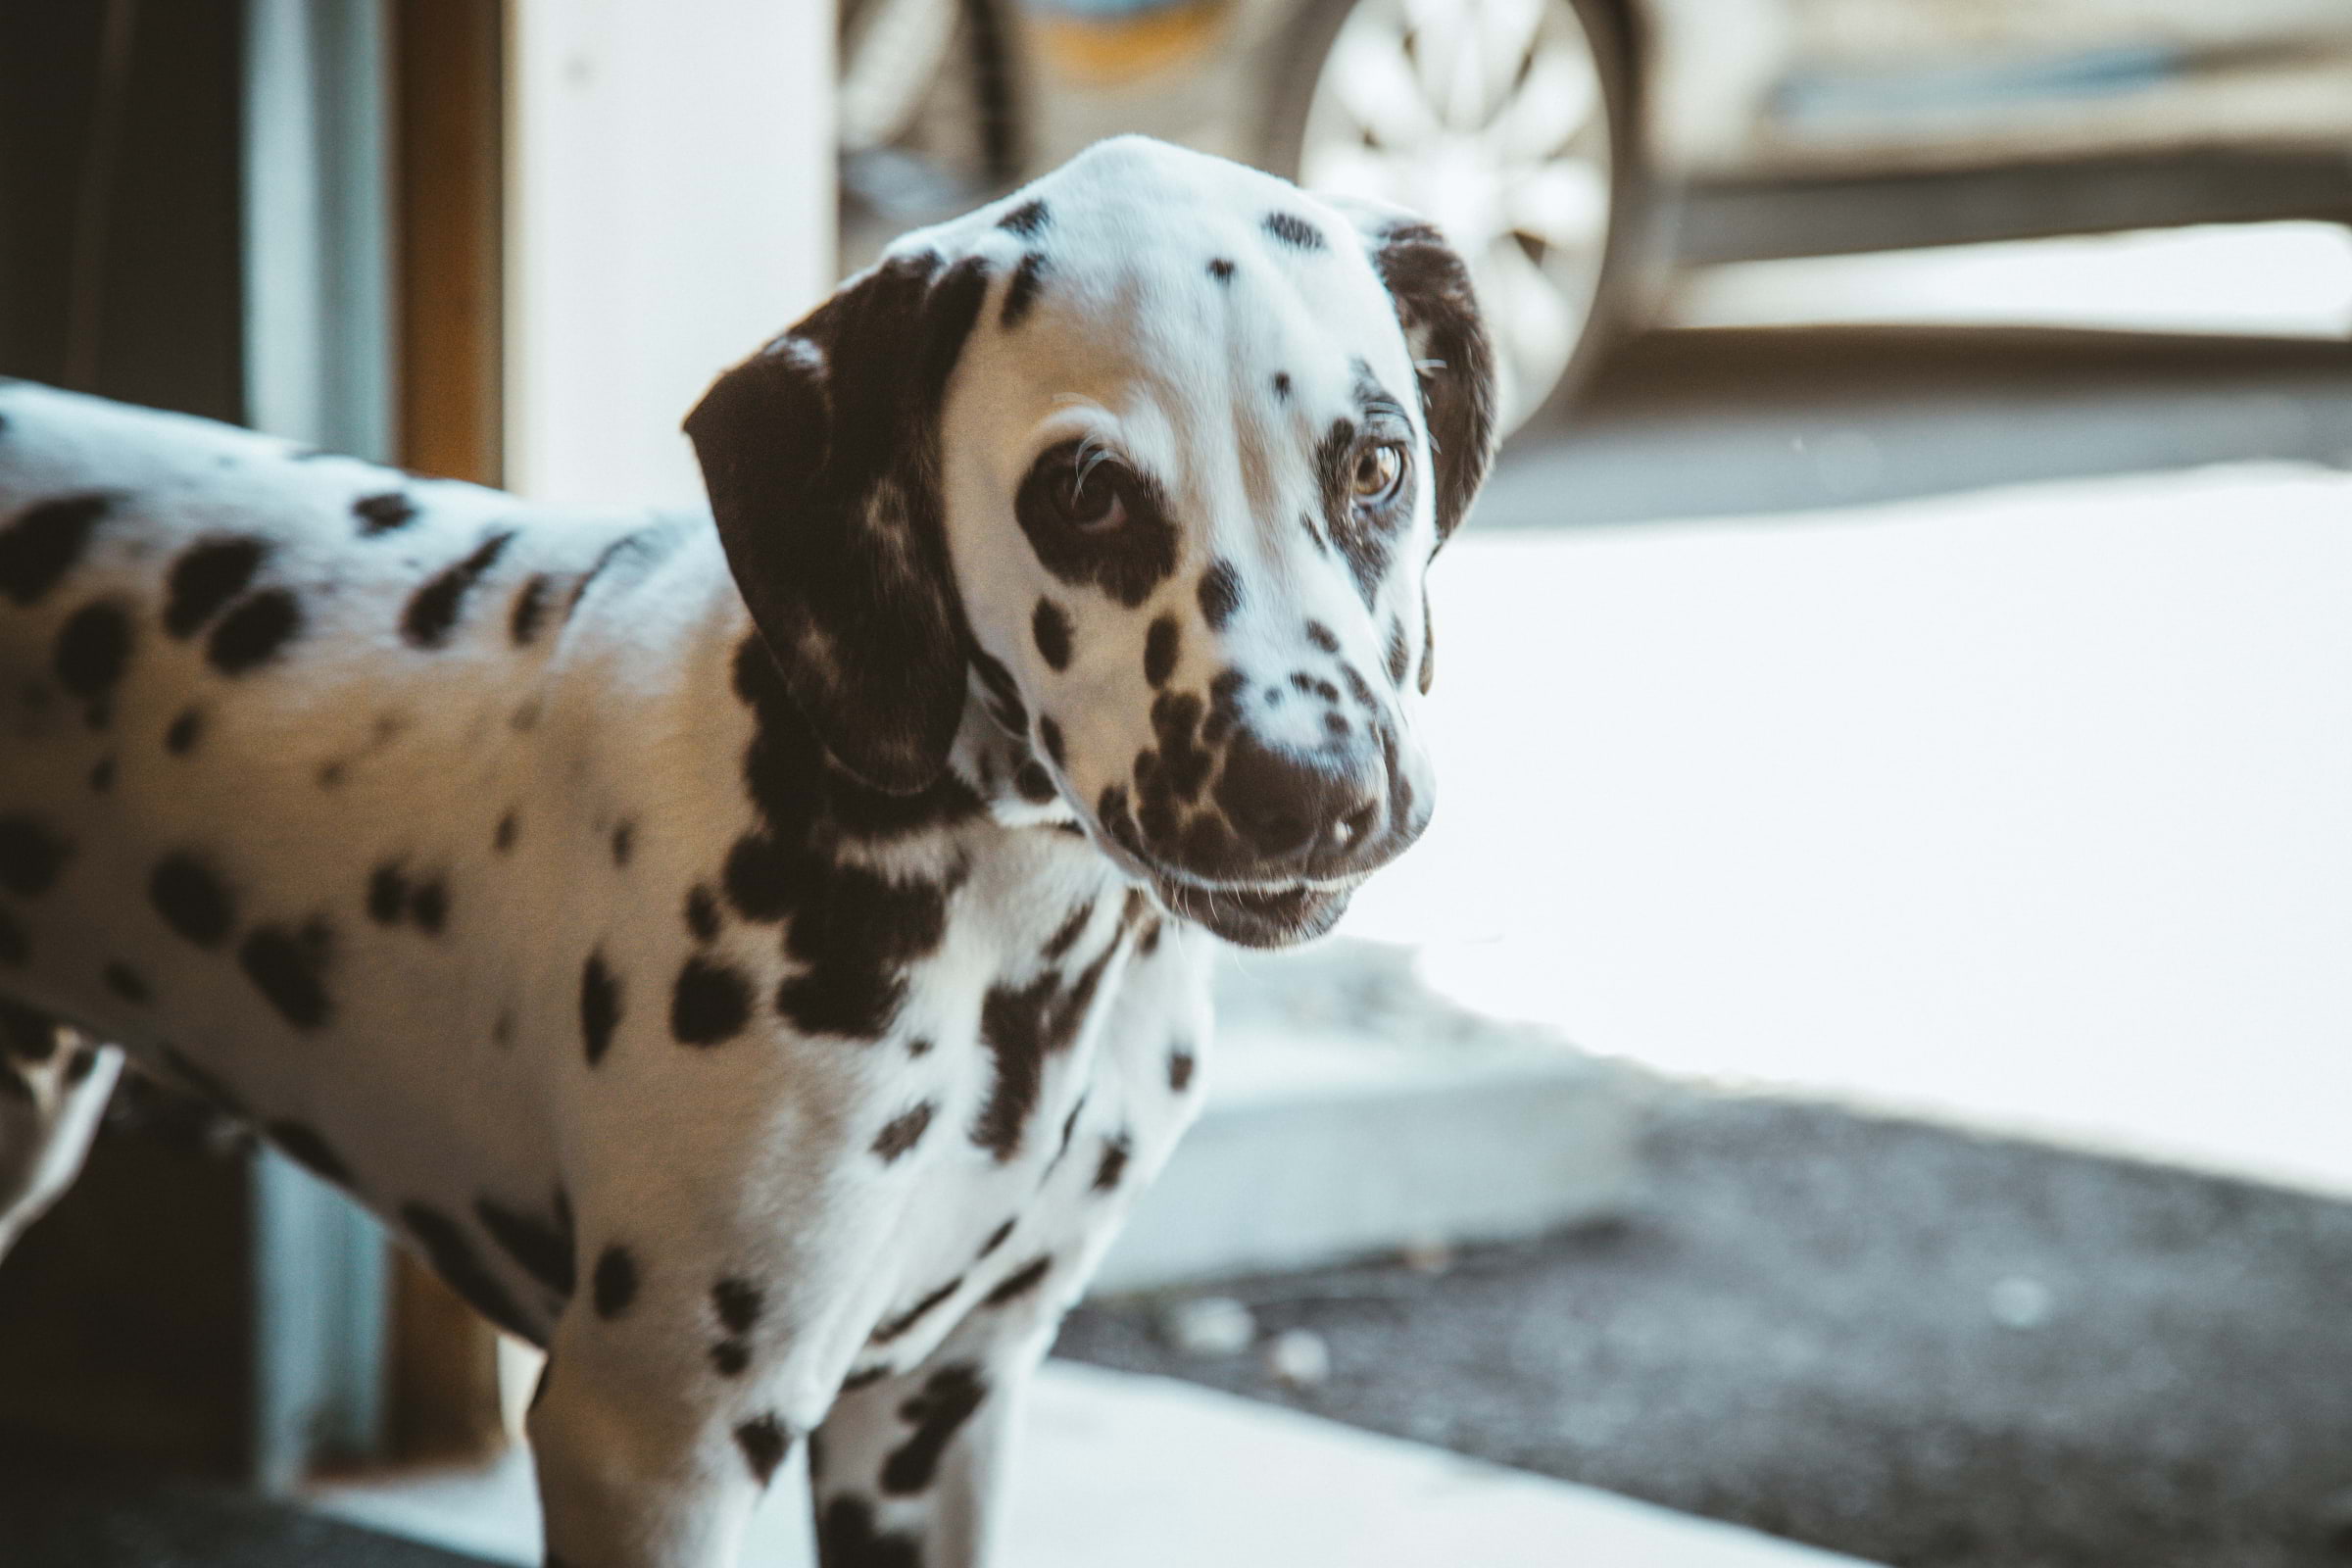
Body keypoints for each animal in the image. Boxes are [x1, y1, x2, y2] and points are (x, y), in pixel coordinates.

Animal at [0, 137, 1495, 1568]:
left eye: (1376, 464)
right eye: (1086, 496)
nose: (1311, 785)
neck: (1015, 942)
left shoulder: (933, 1416)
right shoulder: (658, 1448)